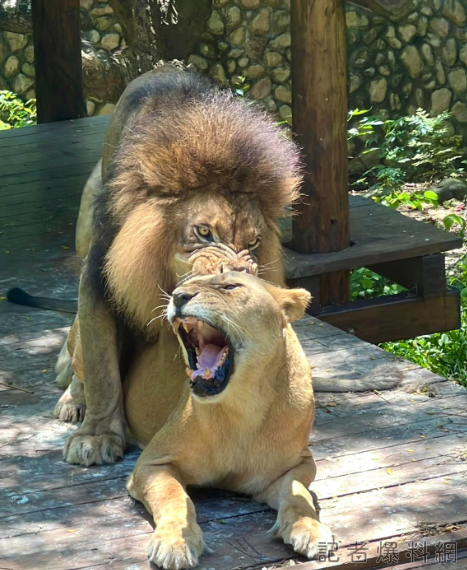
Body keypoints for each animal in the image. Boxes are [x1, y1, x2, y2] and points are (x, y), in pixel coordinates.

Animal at [60, 64, 302, 464]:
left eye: (253, 243)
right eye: (204, 231)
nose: (241, 278)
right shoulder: (97, 280)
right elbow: (101, 368)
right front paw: (96, 436)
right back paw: (72, 400)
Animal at [68, 270, 332, 568]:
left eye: (230, 286)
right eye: (180, 287)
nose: (178, 296)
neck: (242, 407)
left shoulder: (297, 465)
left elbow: (298, 494)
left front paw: (310, 528)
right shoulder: (152, 463)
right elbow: (173, 496)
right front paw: (175, 542)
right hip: (88, 337)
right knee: (84, 376)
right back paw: (72, 406)